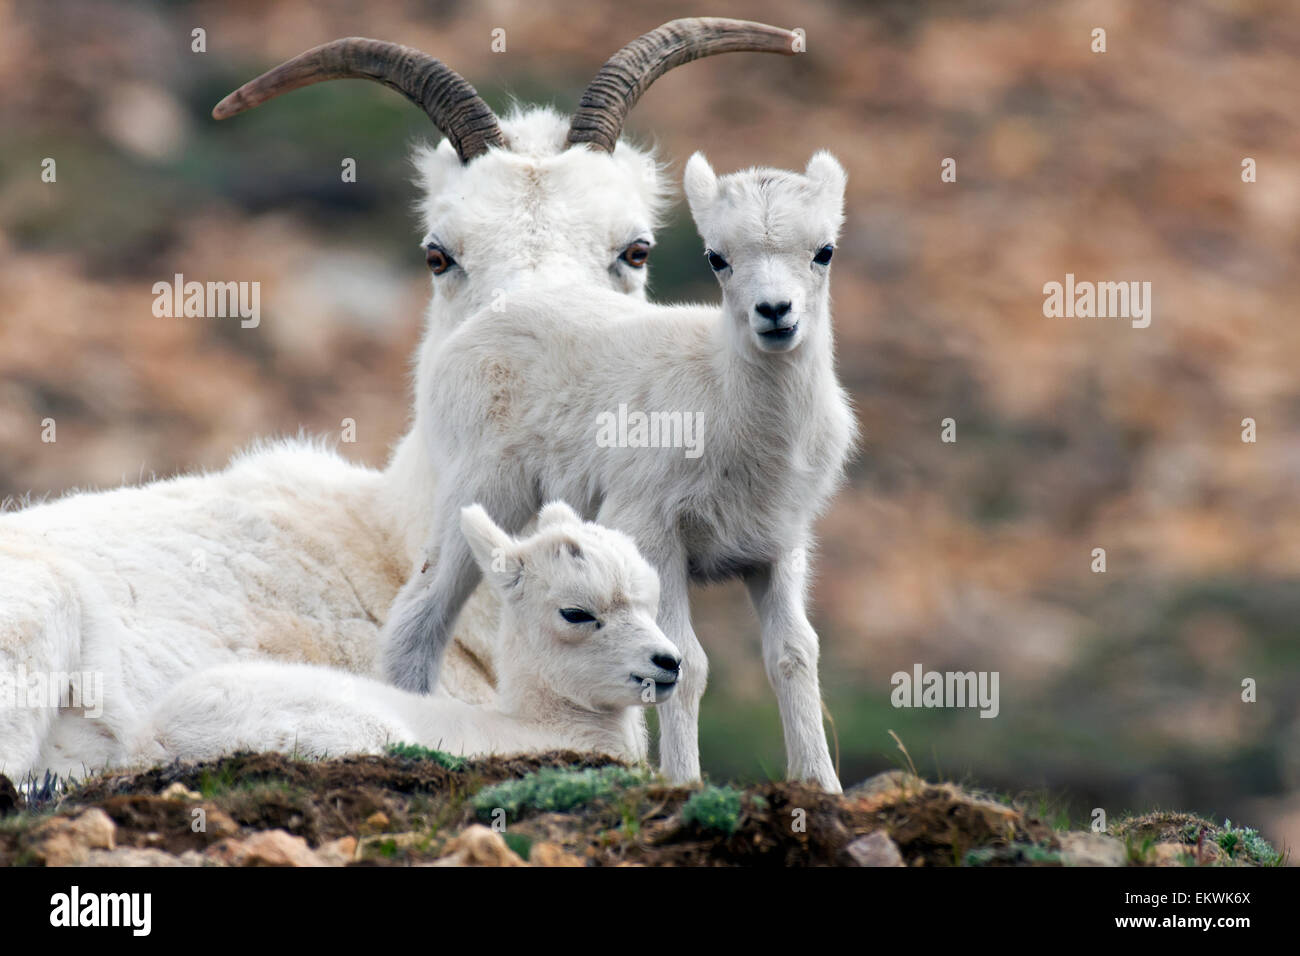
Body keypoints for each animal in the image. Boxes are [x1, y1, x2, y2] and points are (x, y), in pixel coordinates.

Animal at [130, 504, 681, 764]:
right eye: (576, 613)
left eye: (650, 601)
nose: (668, 663)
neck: (543, 727)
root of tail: (154, 733)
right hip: (360, 732)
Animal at [379, 151, 857, 790]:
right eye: (717, 257)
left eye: (824, 250)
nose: (775, 313)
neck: (729, 406)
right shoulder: (656, 533)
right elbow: (687, 663)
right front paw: (683, 782)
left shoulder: (778, 549)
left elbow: (795, 655)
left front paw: (821, 785)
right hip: (479, 494)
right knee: (418, 618)